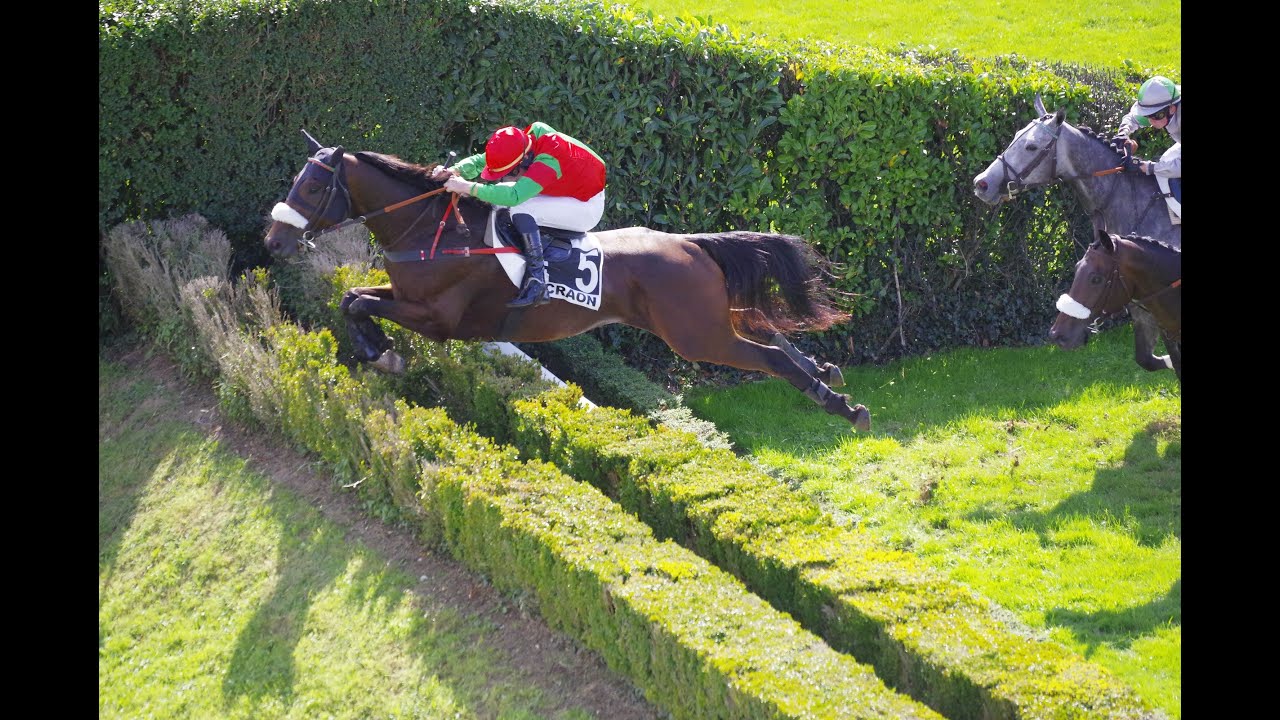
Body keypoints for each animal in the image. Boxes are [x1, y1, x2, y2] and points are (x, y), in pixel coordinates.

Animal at [263, 130, 871, 430]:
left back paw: (839, 404)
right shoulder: (407, 296)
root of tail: (690, 244)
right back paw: (825, 372)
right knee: (767, 330)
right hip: (709, 320)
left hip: (695, 335)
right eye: (296, 180)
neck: (431, 232)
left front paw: (382, 353)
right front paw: (378, 351)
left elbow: (358, 303)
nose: (272, 241)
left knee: (764, 356)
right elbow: (352, 297)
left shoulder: (437, 318)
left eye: (312, 187)